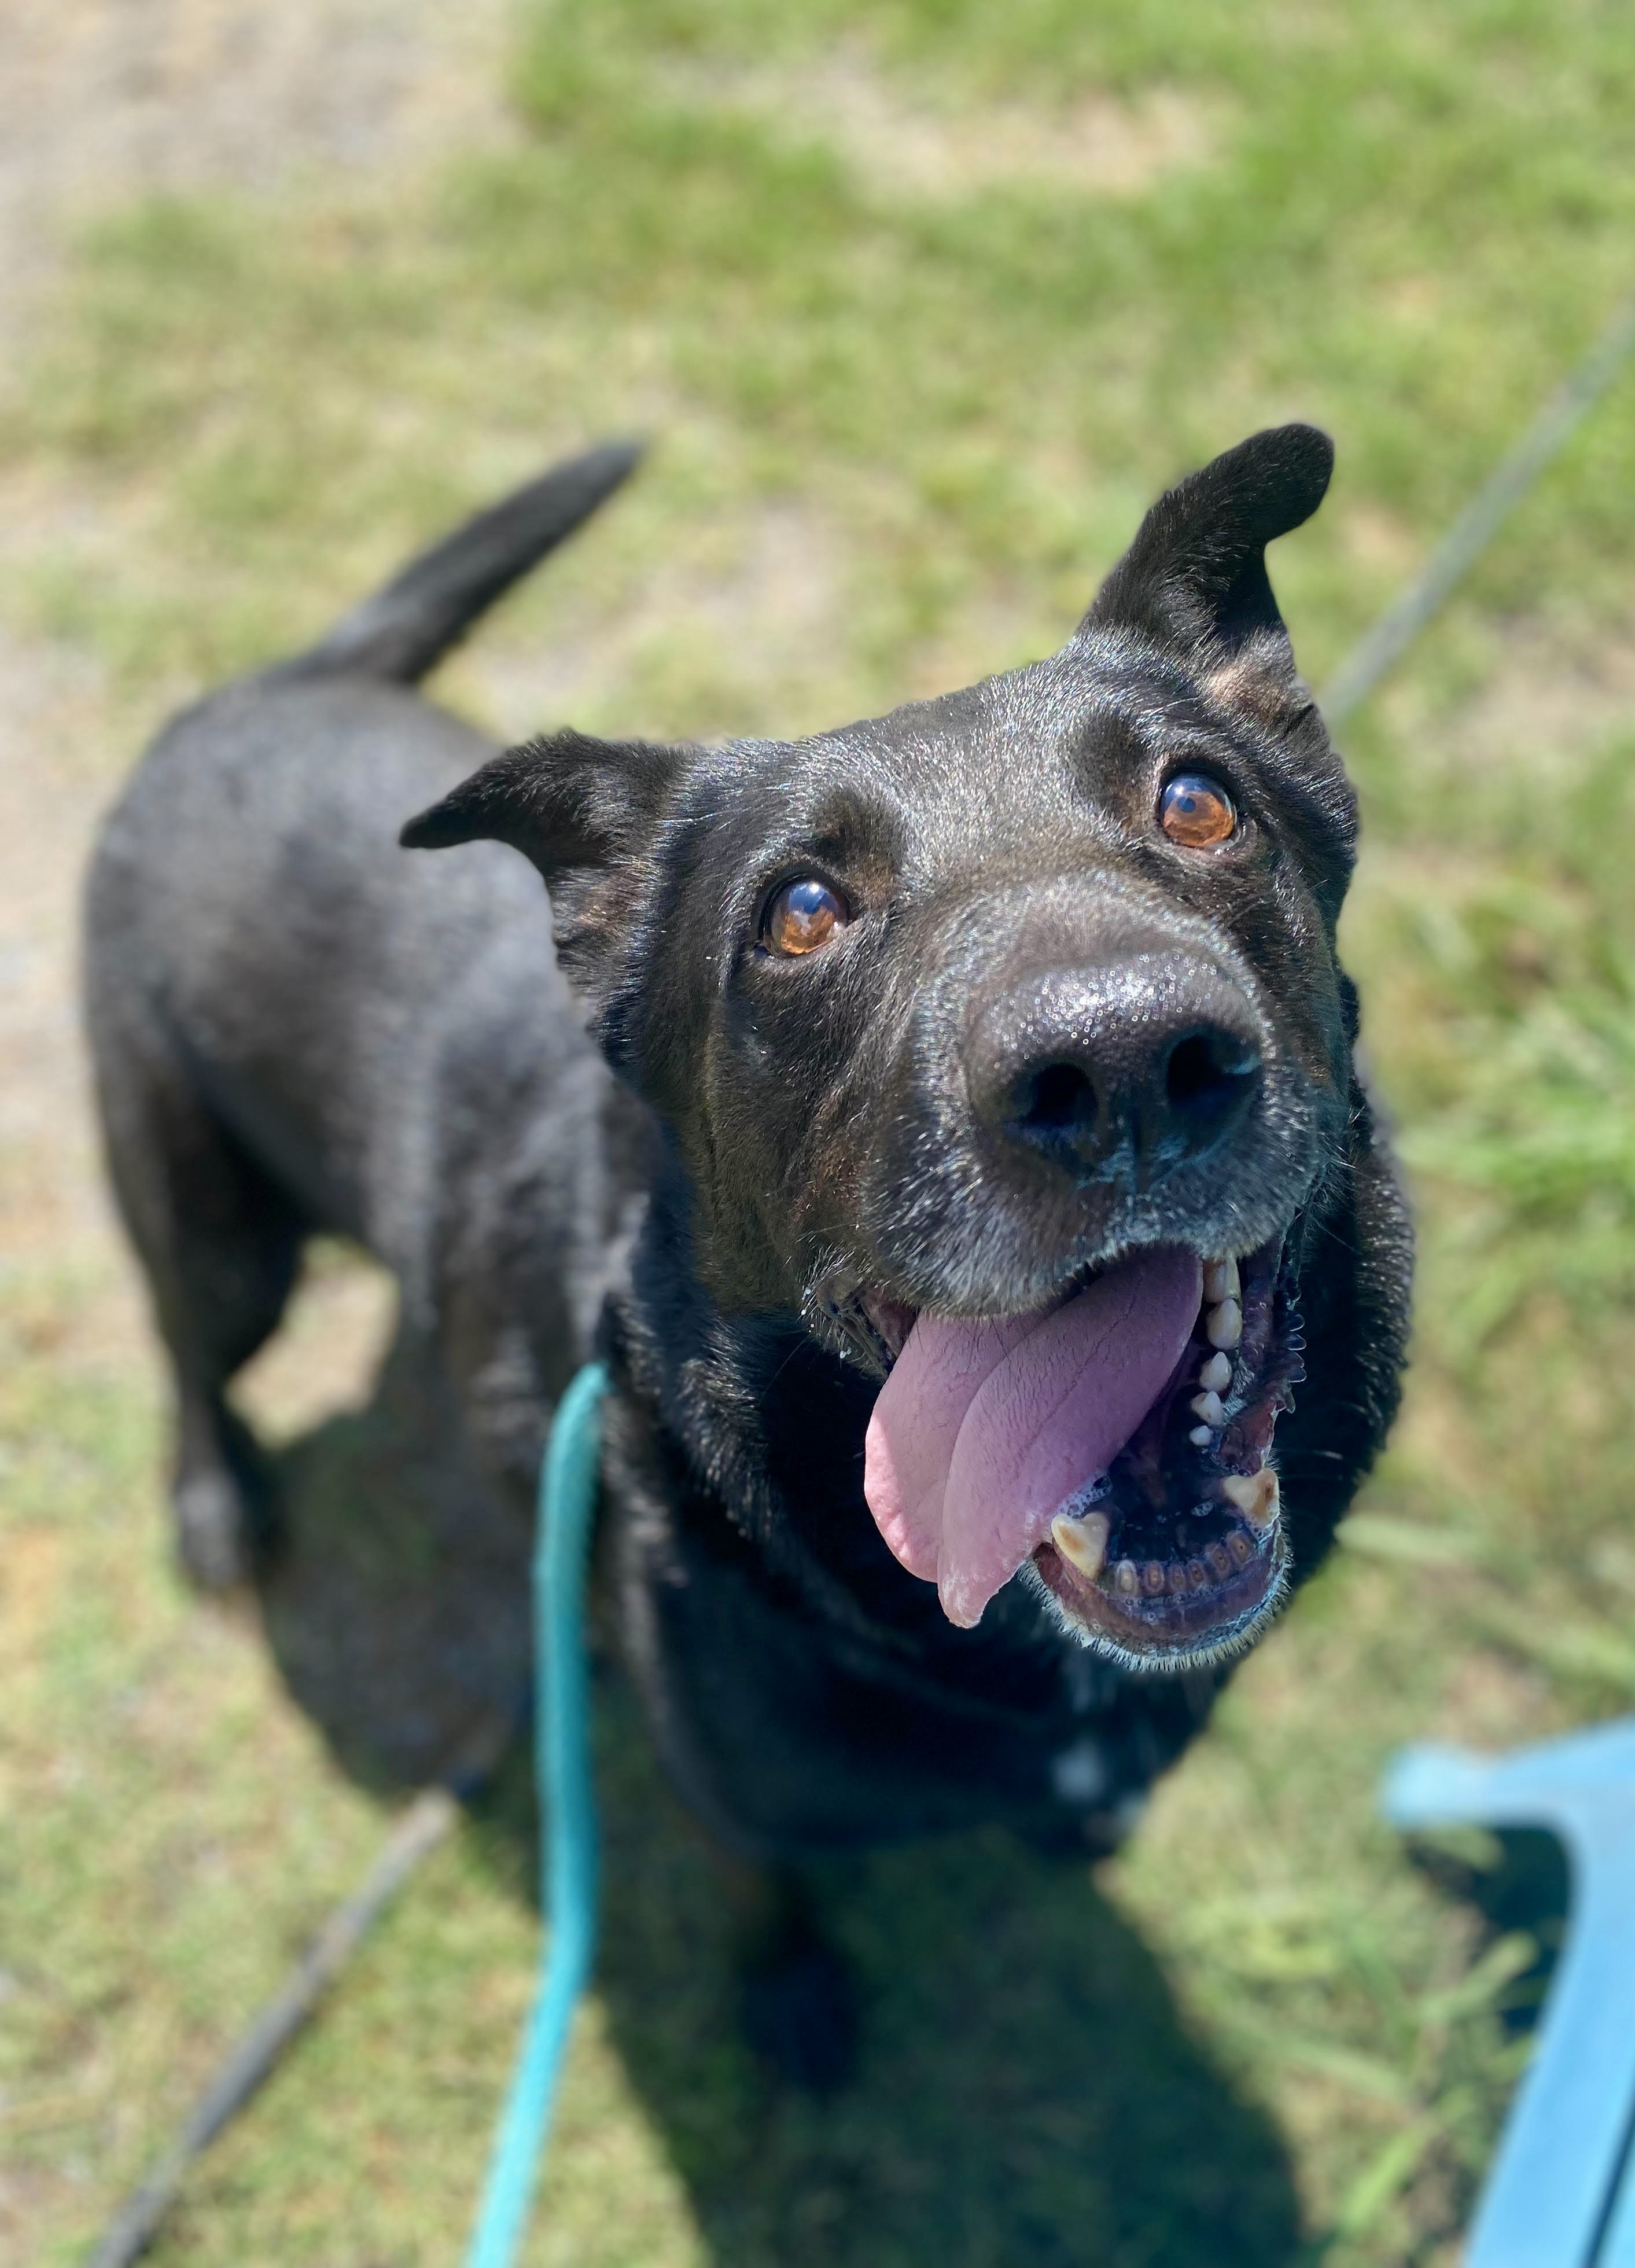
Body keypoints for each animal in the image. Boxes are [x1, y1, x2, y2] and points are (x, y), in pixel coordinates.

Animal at [86, 428, 1406, 2086]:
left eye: (1197, 804)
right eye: (799, 911)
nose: (1120, 1068)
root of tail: (275, 676)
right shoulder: (728, 1790)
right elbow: (764, 1884)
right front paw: (790, 2002)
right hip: (220, 1234)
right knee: (189, 1345)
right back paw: (216, 1502)